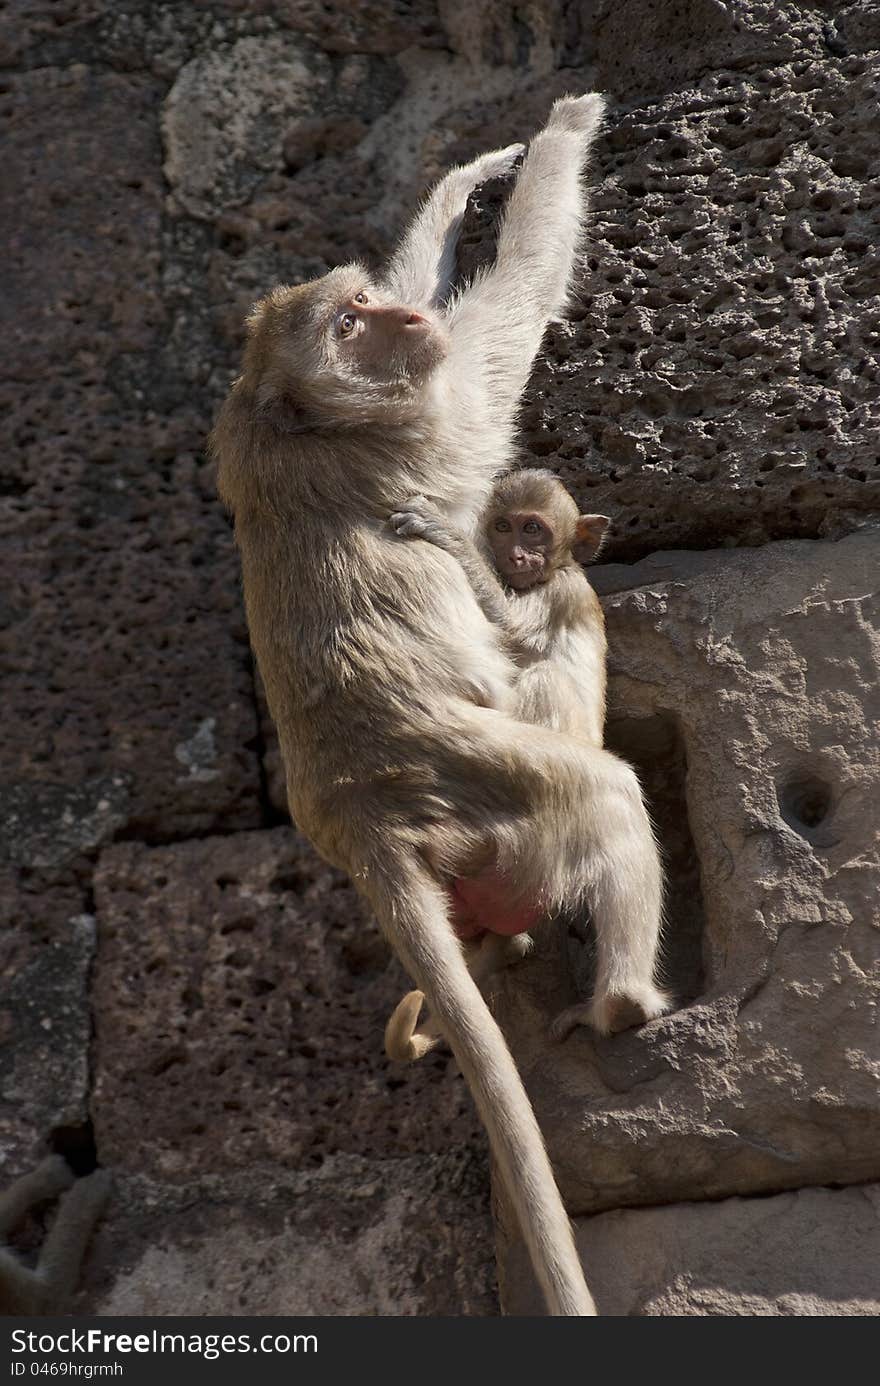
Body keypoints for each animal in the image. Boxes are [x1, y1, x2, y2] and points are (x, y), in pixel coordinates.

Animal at [388, 468, 665, 1058]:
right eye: (503, 525)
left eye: (533, 529)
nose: (516, 552)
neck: (548, 573)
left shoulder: (559, 593)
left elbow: (510, 632)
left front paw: (447, 537)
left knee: (545, 677)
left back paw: (620, 1006)